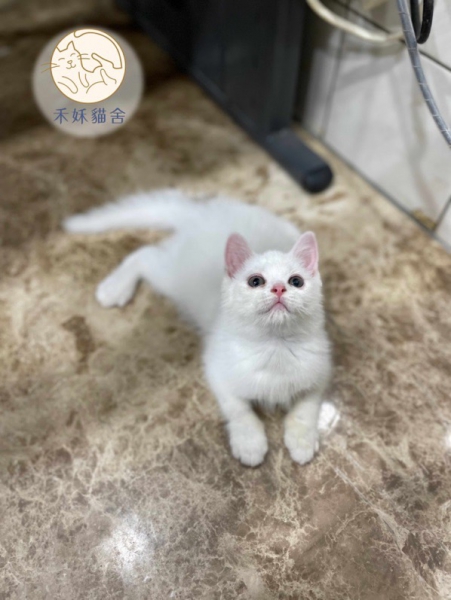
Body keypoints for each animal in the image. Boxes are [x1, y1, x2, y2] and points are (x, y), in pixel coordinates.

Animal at [64, 190, 332, 467]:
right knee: (145, 254)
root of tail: (201, 212)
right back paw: (114, 288)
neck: (275, 345)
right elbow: (239, 409)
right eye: (255, 281)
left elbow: (306, 406)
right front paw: (250, 443)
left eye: (296, 281)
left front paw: (302, 441)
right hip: (174, 276)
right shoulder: (218, 370)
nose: (279, 288)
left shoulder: (320, 371)